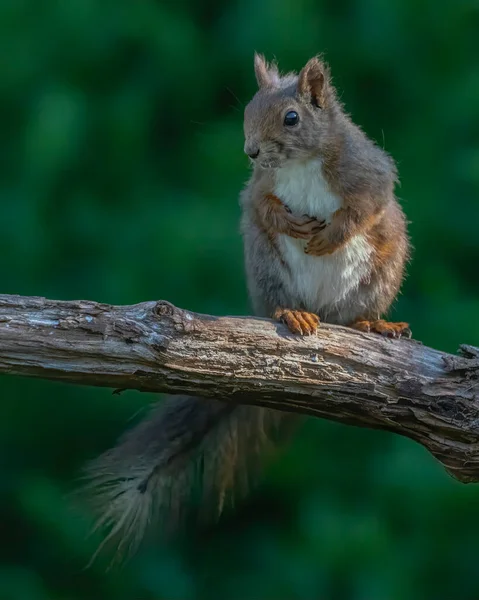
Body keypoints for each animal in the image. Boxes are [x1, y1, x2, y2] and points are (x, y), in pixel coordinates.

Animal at [80, 52, 410, 564]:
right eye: (249, 109)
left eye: (292, 118)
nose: (251, 152)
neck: (300, 163)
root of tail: (327, 313)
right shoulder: (257, 189)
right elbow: (261, 204)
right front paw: (290, 221)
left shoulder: (369, 172)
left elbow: (366, 204)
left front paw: (330, 234)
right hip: (265, 262)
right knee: (278, 294)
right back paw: (292, 314)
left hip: (385, 264)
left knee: (361, 308)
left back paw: (375, 324)